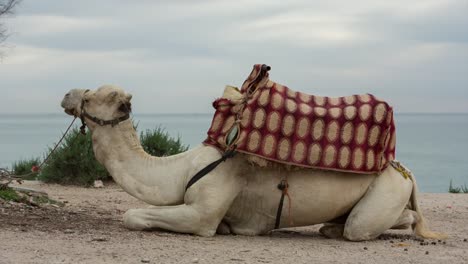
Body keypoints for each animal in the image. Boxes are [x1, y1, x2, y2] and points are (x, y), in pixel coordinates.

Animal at [60, 85, 444, 240]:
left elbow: (132, 215)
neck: (181, 167)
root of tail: (403, 171)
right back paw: (331, 228)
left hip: (386, 193)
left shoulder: (203, 211)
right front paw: (231, 227)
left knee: (369, 225)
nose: (66, 95)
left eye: (90, 96)